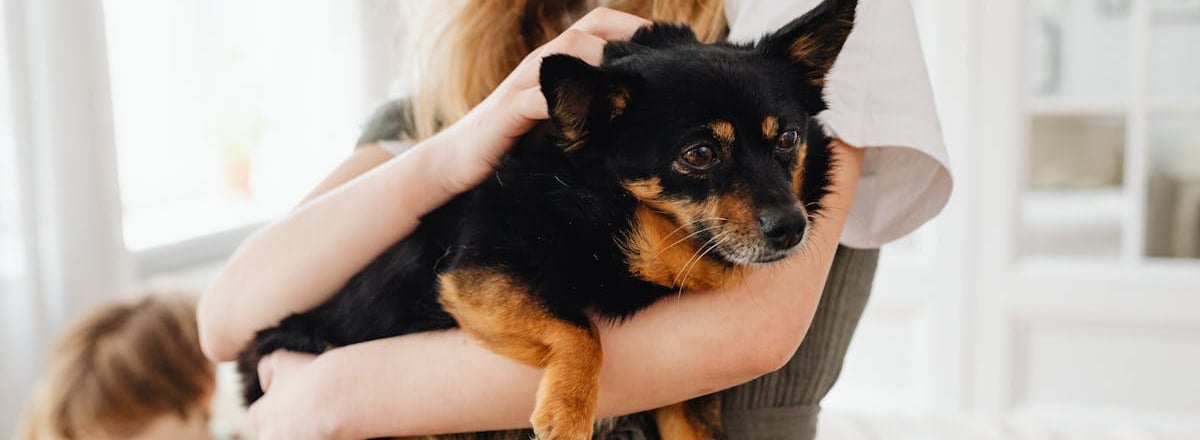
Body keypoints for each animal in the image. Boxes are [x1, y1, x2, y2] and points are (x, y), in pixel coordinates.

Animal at [236, 1, 854, 438]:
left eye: (788, 139)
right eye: (699, 154)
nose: (792, 227)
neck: (627, 222)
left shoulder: (687, 400)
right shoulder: (474, 277)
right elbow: (581, 330)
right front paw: (568, 410)